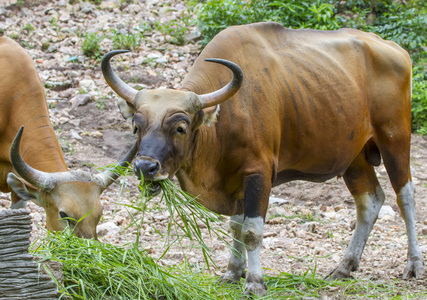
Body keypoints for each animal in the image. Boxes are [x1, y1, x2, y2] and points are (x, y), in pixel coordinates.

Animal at [102, 22, 426, 296]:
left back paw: (414, 264)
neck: (225, 118)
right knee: (370, 200)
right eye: (137, 126)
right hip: (354, 157)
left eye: (180, 127)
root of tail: (395, 50)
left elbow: (252, 231)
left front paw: (255, 282)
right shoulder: (233, 181)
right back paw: (345, 266)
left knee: (405, 195)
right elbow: (235, 226)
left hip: (395, 138)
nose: (145, 167)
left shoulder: (258, 174)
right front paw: (233, 272)